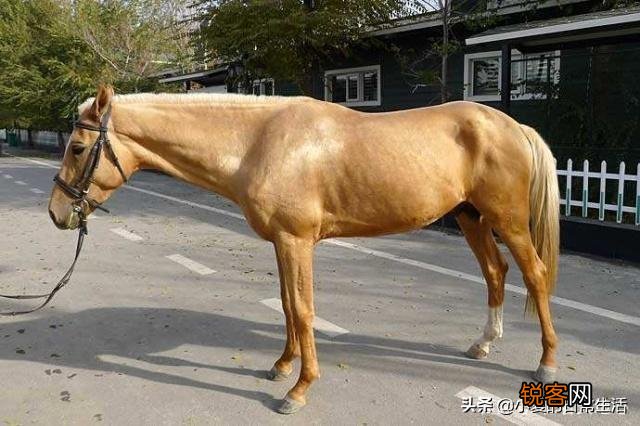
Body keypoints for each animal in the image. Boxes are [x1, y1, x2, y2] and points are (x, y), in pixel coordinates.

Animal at [48, 85, 560, 414]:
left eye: (77, 148)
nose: (57, 213)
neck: (259, 142)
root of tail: (512, 125)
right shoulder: (282, 242)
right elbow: (287, 306)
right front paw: (281, 366)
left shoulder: (297, 242)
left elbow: (304, 308)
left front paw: (298, 390)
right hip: (472, 218)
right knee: (495, 273)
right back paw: (483, 344)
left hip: (508, 221)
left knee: (534, 275)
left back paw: (546, 364)